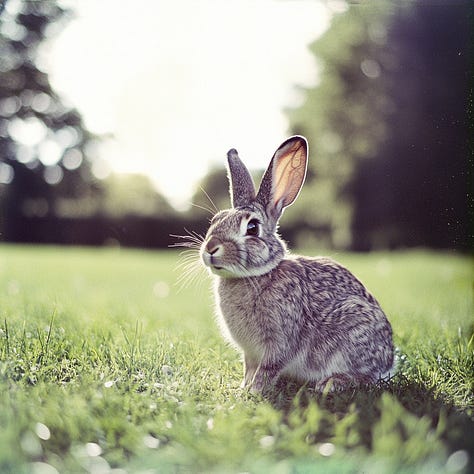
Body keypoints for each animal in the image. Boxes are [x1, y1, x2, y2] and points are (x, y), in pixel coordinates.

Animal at [198, 136, 394, 392]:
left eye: (252, 228)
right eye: (215, 220)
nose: (210, 248)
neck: (255, 276)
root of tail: (389, 362)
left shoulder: (280, 341)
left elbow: (268, 368)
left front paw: (253, 392)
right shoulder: (250, 352)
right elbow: (248, 367)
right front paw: (242, 388)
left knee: (366, 378)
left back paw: (330, 383)